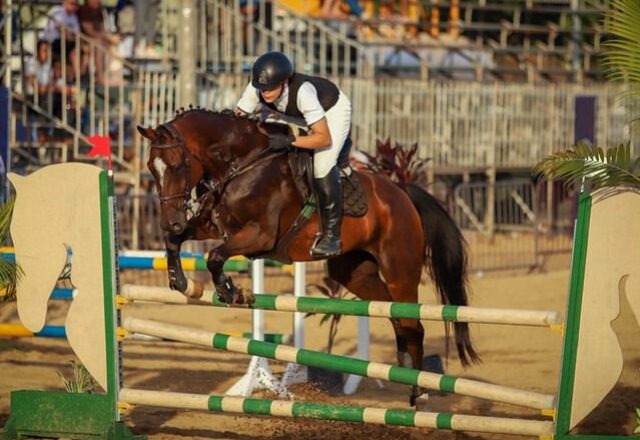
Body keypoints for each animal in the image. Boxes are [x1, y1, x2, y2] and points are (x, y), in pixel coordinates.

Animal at [137, 109, 480, 405]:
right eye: (152, 168)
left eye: (178, 166)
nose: (169, 220)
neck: (241, 165)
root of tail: (402, 194)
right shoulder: (212, 226)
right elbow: (177, 242)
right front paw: (181, 281)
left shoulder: (259, 236)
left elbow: (214, 256)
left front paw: (232, 292)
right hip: (355, 273)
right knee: (396, 317)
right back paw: (405, 374)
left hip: (400, 270)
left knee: (413, 323)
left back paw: (418, 392)